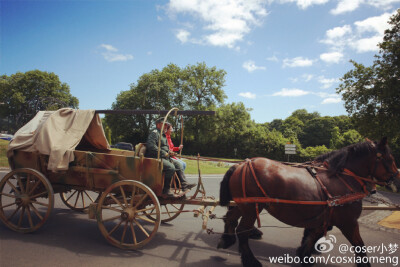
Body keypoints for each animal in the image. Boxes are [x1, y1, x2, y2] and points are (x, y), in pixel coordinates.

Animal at [219, 138, 400, 267]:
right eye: (390, 158)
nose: (397, 179)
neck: (343, 178)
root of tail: (241, 165)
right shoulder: (348, 222)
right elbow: (360, 247)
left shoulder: (323, 217)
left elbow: (313, 236)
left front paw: (304, 255)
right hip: (251, 207)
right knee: (242, 230)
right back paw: (251, 261)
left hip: (243, 205)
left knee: (230, 218)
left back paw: (227, 240)